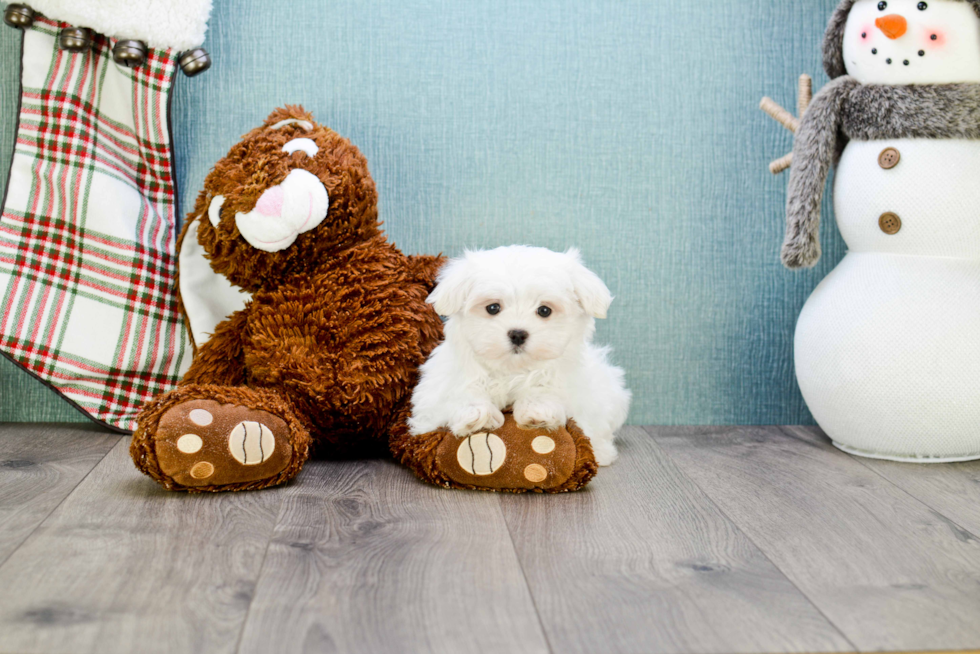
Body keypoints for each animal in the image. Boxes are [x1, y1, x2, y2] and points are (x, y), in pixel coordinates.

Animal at [408, 246, 632, 466]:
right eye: (493, 308)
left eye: (544, 310)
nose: (517, 334)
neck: (511, 369)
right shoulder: (435, 394)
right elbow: (459, 392)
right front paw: (476, 413)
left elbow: (547, 388)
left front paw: (538, 409)